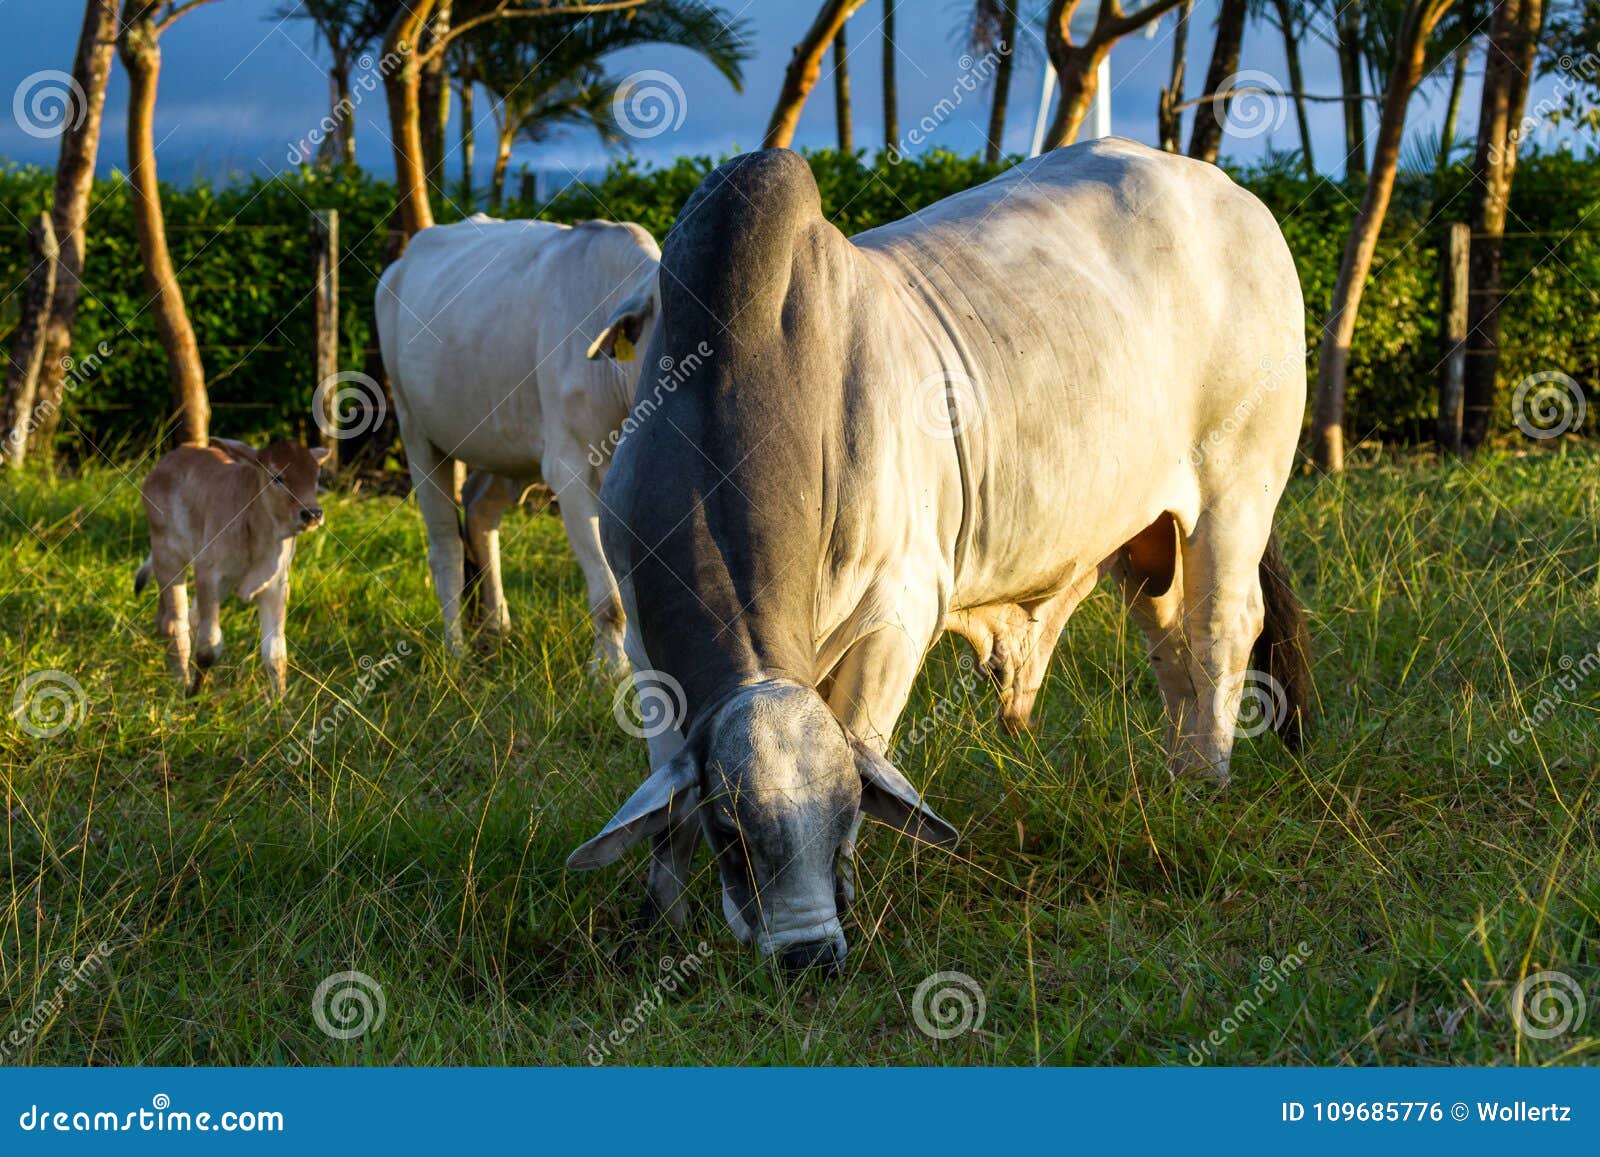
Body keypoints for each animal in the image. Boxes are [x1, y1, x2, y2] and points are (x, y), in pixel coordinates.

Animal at [136, 441, 328, 697]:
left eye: (316, 476)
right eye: (277, 477)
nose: (312, 513)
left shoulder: (276, 586)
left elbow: (276, 654)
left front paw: (280, 703)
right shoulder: (207, 575)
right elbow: (208, 648)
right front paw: (194, 694)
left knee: (182, 618)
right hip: (167, 556)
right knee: (175, 623)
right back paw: (181, 685)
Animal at [376, 217, 662, 668]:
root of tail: (399, 265)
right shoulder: (572, 468)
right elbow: (611, 599)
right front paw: (610, 671)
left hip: (501, 445)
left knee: (479, 513)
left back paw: (496, 627)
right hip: (417, 433)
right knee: (445, 548)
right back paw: (456, 652)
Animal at [572, 142, 1312, 979]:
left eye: (845, 816)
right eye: (731, 832)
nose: (811, 955)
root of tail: (1230, 193)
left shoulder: (896, 614)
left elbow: (861, 737)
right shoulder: (647, 647)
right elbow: (667, 809)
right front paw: (659, 921)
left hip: (1235, 493)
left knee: (1223, 629)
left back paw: (1209, 779)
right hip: (1146, 535)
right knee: (1171, 643)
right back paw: (1180, 774)